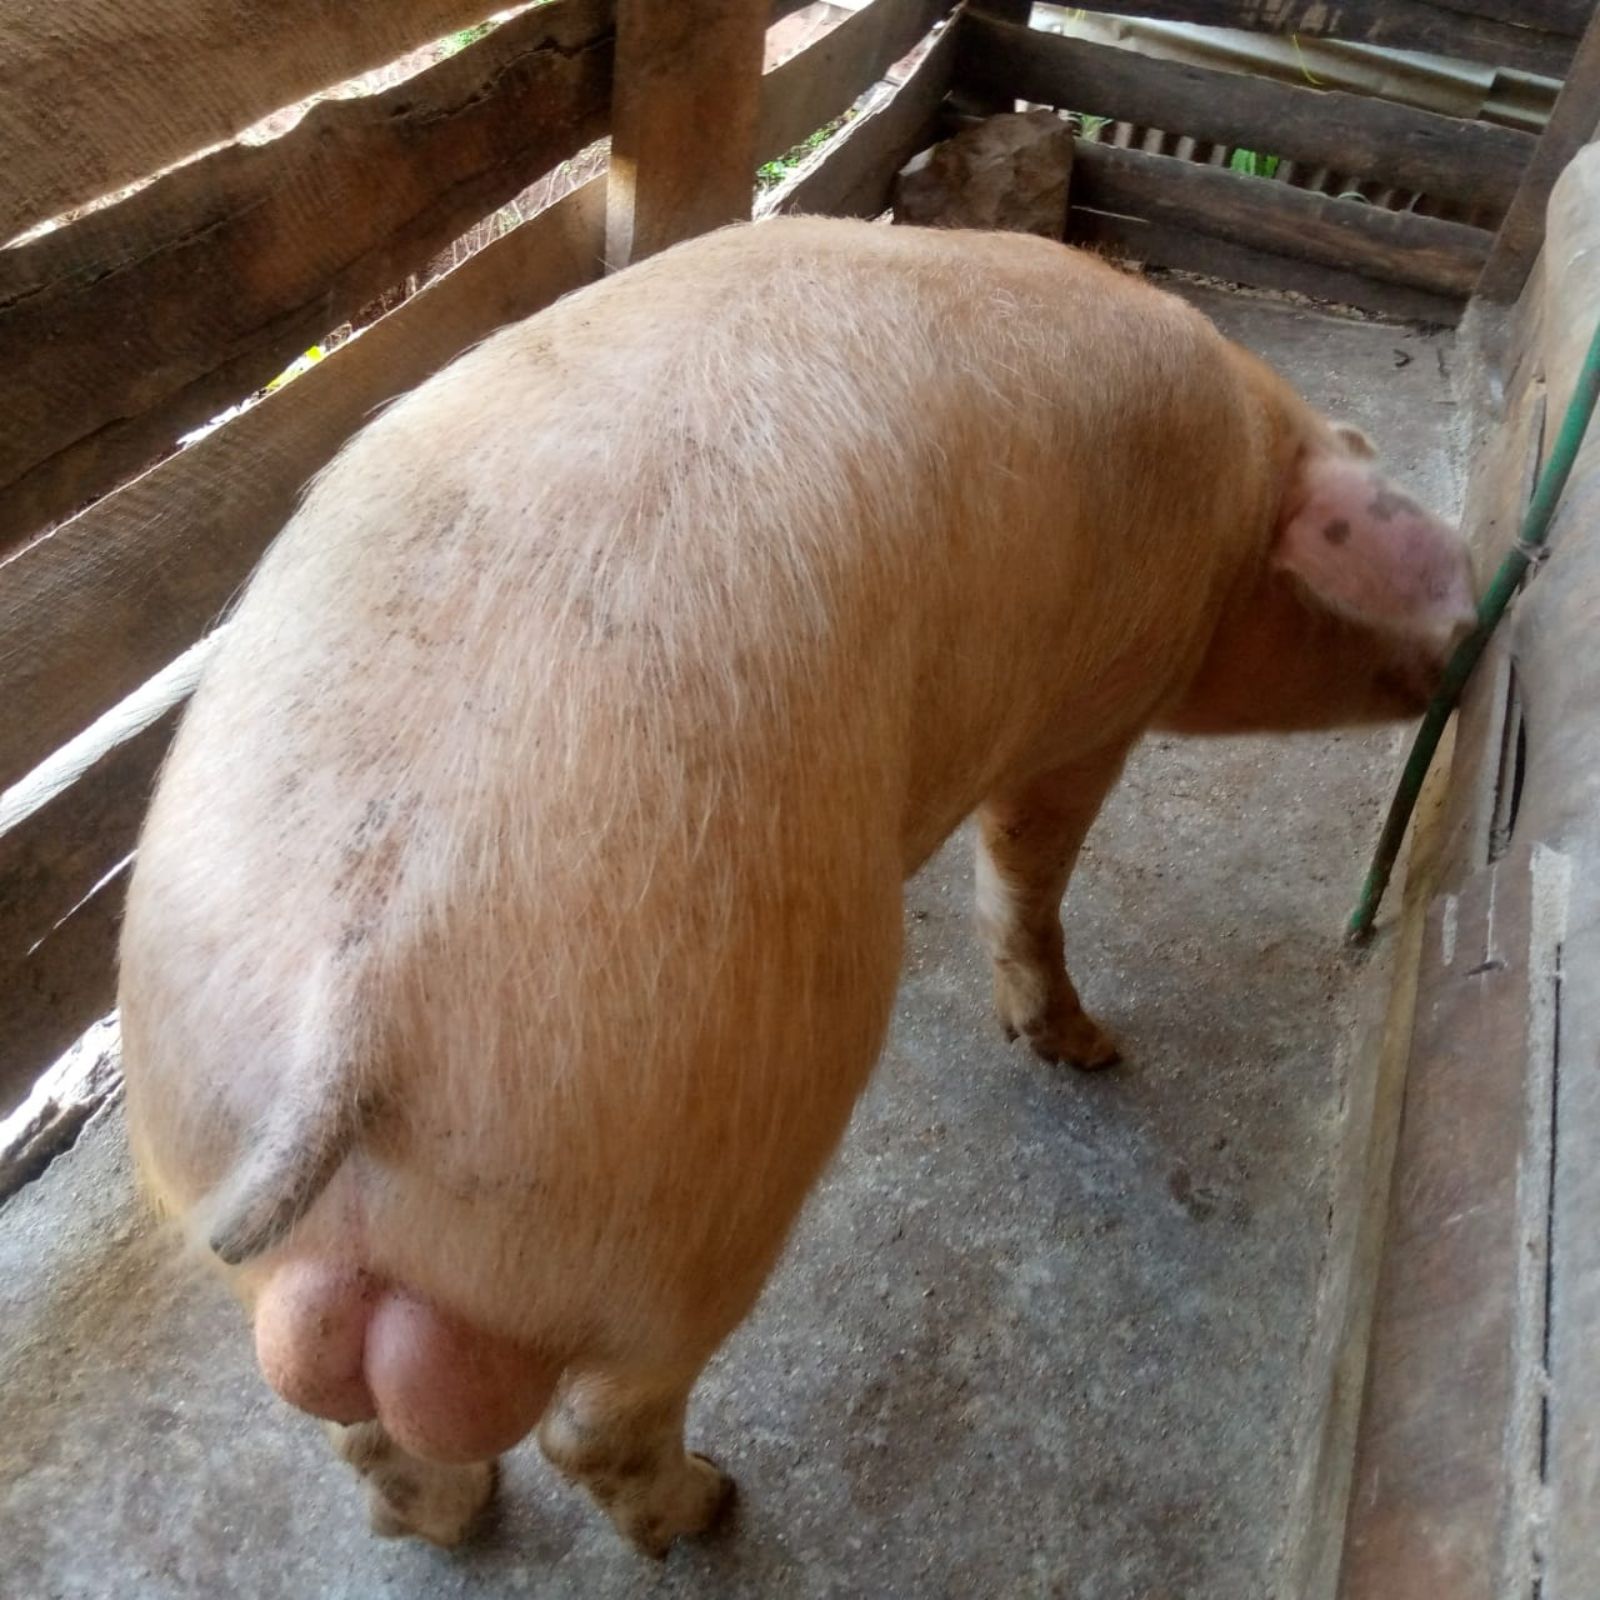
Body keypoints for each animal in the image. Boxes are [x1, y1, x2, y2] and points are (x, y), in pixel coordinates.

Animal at [118, 216, 1475, 1554]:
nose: (1469, 636)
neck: (1243, 490)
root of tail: (351, 996)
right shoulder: (1096, 699)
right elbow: (1029, 868)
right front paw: (1093, 1051)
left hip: (234, 1154)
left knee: (359, 1427)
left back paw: (450, 1521)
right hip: (702, 1150)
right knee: (594, 1421)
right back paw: (713, 1505)